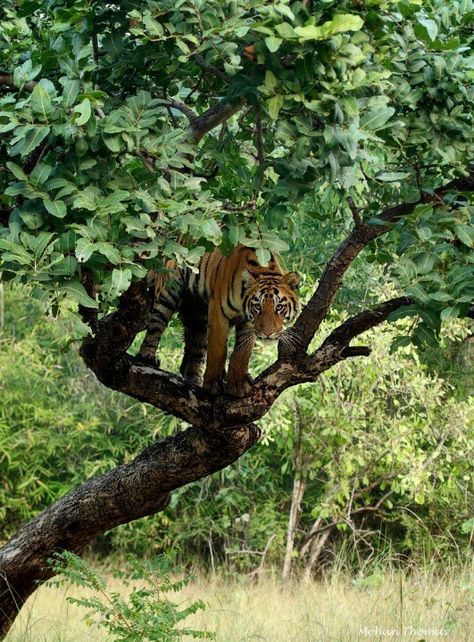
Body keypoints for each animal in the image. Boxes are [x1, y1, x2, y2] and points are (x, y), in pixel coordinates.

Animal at [138, 244, 300, 396]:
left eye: (279, 307)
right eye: (257, 307)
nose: (267, 333)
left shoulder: (248, 322)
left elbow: (243, 351)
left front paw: (238, 383)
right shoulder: (218, 312)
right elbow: (218, 348)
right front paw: (213, 384)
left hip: (199, 317)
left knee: (196, 349)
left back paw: (194, 379)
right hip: (169, 292)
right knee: (156, 326)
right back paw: (147, 357)